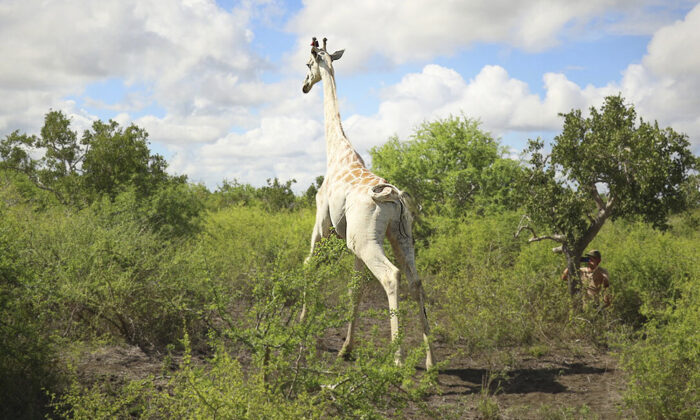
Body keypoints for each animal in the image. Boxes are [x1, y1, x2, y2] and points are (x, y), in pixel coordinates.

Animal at [301, 37, 434, 369]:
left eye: (308, 64)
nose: (304, 86)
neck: (336, 152)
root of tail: (393, 197)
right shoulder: (351, 243)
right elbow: (355, 289)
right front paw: (346, 348)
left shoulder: (322, 227)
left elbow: (309, 265)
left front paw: (301, 326)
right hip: (399, 235)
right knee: (416, 281)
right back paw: (430, 362)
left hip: (367, 240)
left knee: (391, 276)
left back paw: (397, 361)